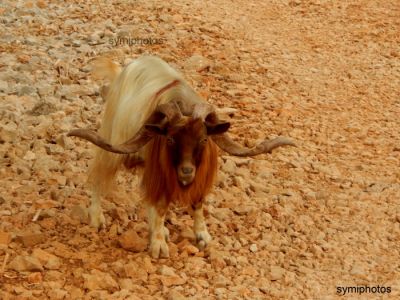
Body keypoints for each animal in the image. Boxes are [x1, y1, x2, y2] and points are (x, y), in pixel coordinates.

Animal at [67, 56, 296, 258]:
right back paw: (97, 218)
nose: (186, 171)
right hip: (112, 142)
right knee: (99, 175)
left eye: (203, 139)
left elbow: (196, 203)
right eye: (170, 139)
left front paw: (202, 236)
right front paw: (159, 245)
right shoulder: (160, 172)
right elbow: (160, 206)